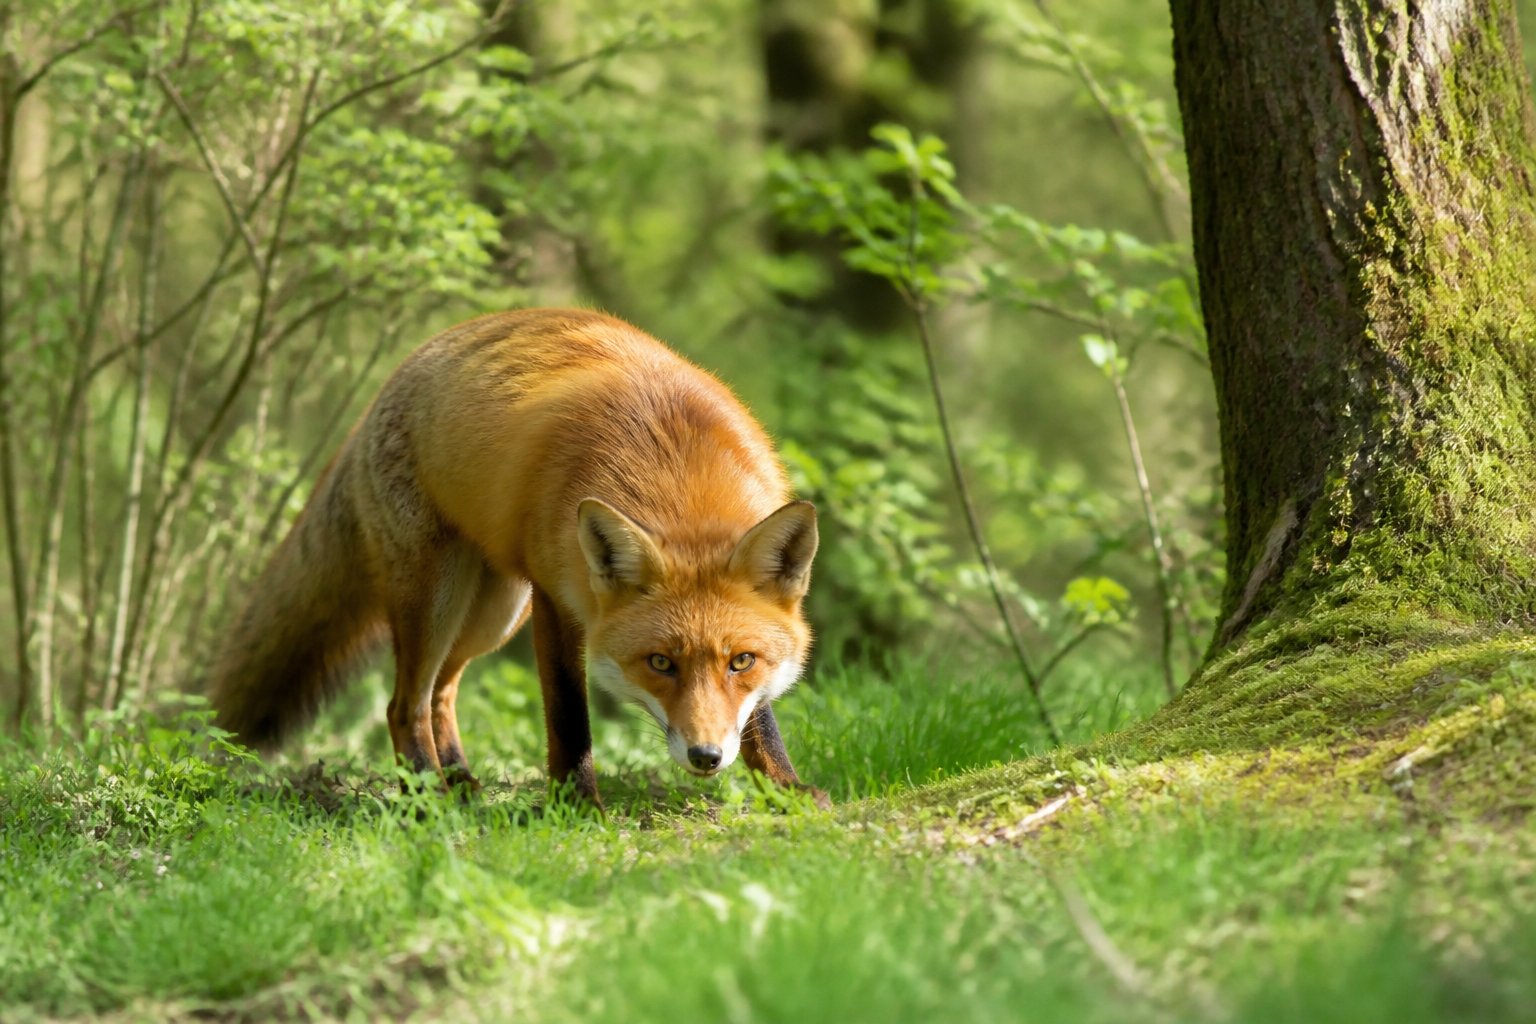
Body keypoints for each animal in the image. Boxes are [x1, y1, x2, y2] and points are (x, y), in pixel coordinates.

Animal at [209, 308, 824, 808]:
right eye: (660, 663)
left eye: (741, 662)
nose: (705, 757)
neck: (674, 473)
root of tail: (393, 380)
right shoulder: (556, 598)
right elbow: (570, 717)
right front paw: (578, 805)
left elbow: (759, 720)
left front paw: (785, 787)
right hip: (438, 599)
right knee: (403, 704)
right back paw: (428, 797)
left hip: (492, 613)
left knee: (441, 692)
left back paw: (460, 781)